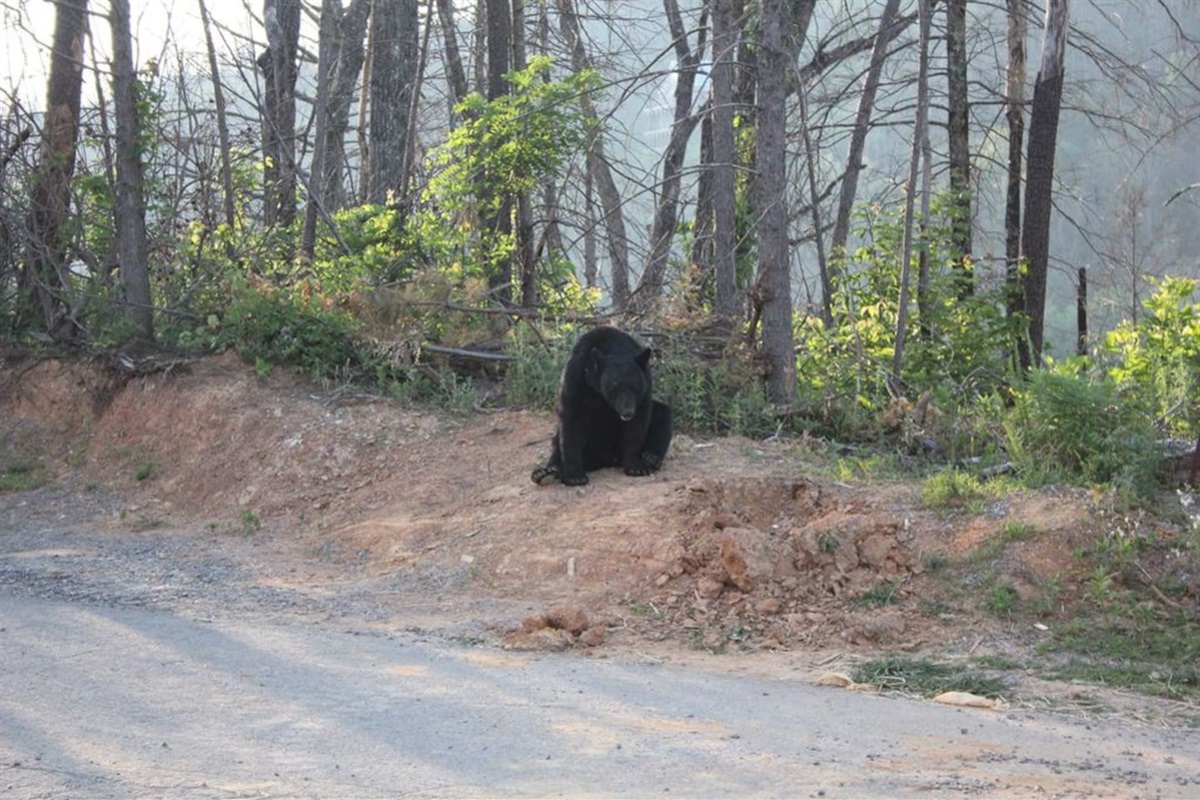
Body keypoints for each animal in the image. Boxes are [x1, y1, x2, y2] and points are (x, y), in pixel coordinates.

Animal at [535, 326, 676, 489]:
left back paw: (651, 457)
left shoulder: (645, 384)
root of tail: (606, 459)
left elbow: (638, 424)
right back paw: (547, 472)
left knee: (663, 413)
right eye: (615, 388)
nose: (627, 412)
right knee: (557, 440)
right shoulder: (575, 376)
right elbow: (571, 421)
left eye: (635, 387)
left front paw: (635, 466)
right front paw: (574, 476)